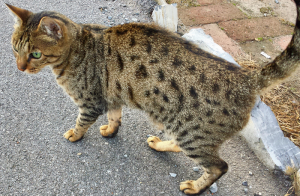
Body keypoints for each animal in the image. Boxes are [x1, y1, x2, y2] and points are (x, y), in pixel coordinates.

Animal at [6, 2, 300, 194]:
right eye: (15, 48)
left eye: (35, 54)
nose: (19, 67)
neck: (80, 47)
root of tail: (247, 77)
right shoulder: (112, 96)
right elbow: (115, 118)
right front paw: (110, 130)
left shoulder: (91, 102)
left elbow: (81, 122)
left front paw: (74, 134)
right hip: (184, 128)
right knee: (184, 147)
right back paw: (160, 145)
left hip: (193, 132)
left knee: (219, 166)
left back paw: (194, 186)